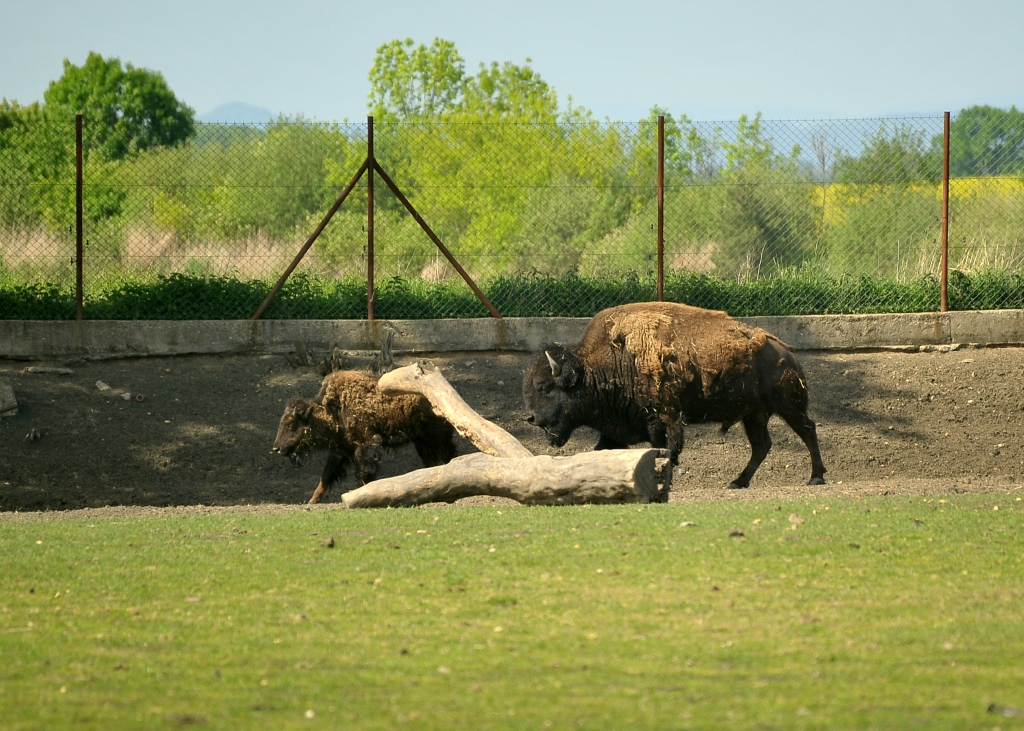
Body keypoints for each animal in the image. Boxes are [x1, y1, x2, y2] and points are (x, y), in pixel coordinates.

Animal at [272, 370, 456, 501]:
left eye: (291, 424)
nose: (276, 448)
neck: (332, 411)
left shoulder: (365, 444)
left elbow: (363, 471)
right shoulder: (340, 451)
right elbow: (326, 476)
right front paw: (312, 501)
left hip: (438, 437)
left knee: (449, 455)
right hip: (421, 442)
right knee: (432, 462)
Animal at [524, 301, 827, 489]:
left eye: (544, 387)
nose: (533, 419)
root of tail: (788, 354)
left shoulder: (664, 419)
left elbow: (668, 450)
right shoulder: (617, 427)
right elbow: (603, 451)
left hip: (789, 407)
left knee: (808, 430)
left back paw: (816, 478)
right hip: (754, 415)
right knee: (762, 446)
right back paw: (737, 482)